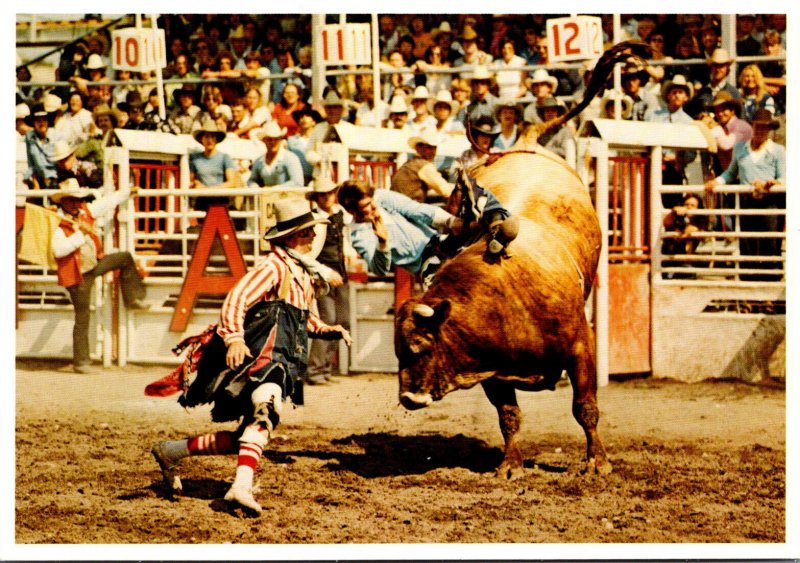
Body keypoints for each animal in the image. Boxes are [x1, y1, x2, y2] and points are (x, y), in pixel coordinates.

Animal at [394, 40, 648, 480]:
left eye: (421, 345)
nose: (409, 398)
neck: (505, 299)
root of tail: (527, 141)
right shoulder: (491, 369)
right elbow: (508, 415)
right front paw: (510, 465)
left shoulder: (581, 347)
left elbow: (585, 407)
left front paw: (597, 461)